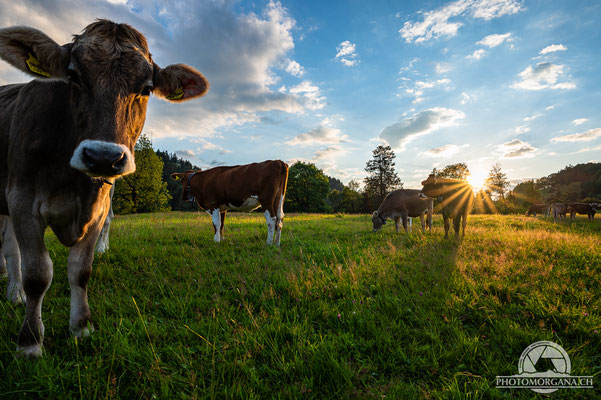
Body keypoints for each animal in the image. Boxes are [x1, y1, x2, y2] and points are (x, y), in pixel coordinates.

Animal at [0, 19, 209, 356]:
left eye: (146, 88)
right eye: (73, 75)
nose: (102, 157)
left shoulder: (98, 210)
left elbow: (81, 270)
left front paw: (82, 327)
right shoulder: (23, 202)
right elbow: (38, 274)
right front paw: (30, 341)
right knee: (10, 249)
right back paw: (15, 292)